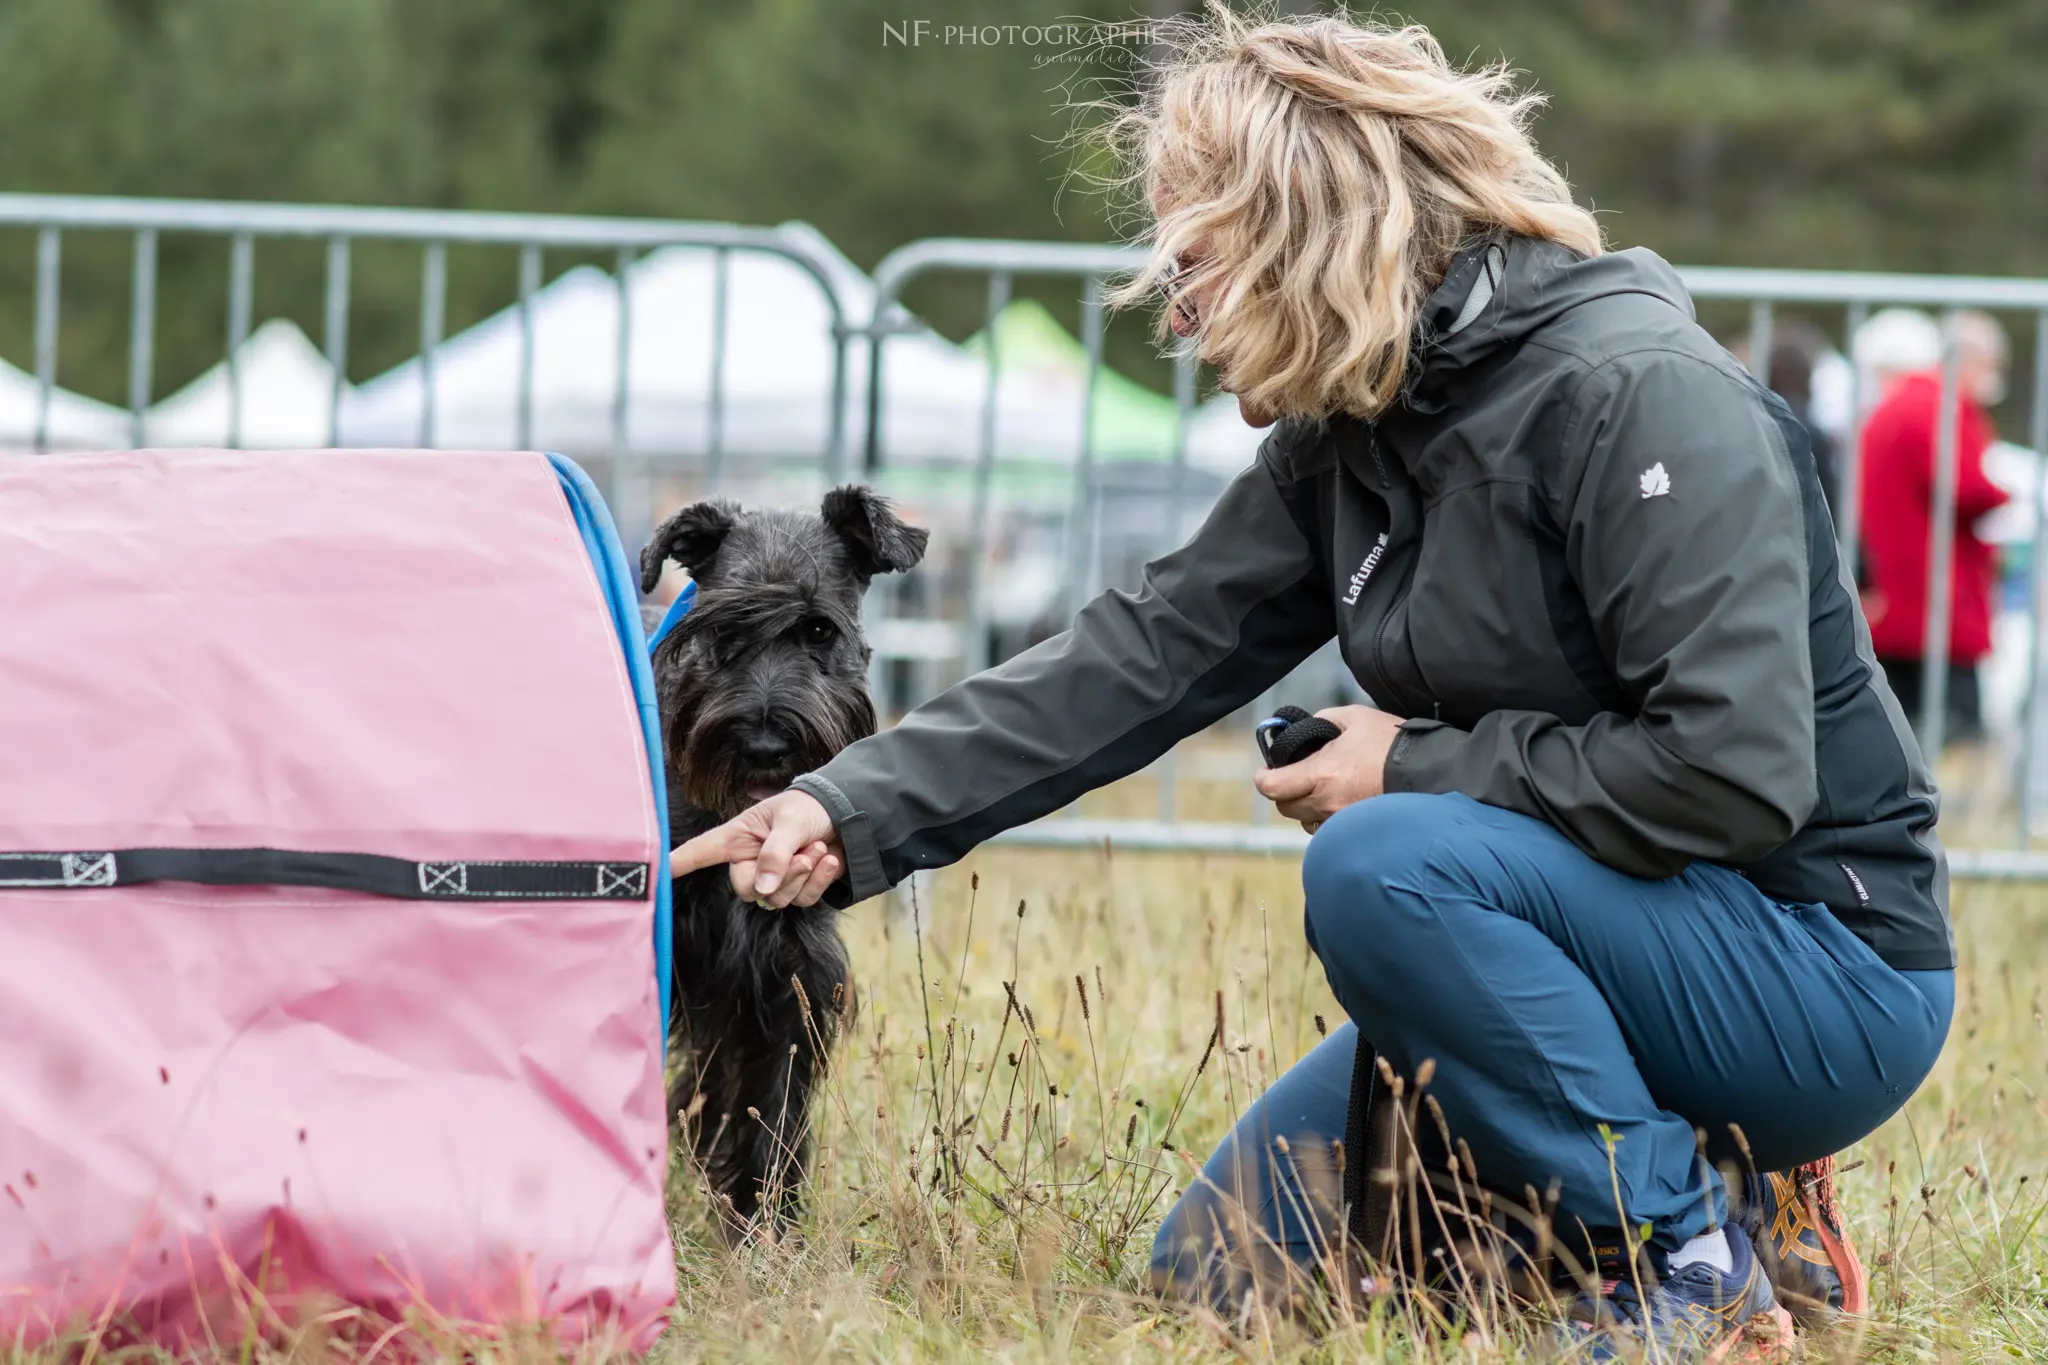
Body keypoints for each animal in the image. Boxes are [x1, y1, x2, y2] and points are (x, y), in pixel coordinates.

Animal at [638, 485, 929, 1236]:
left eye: (820, 630)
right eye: (722, 633)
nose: (765, 743)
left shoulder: (786, 974)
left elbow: (772, 1105)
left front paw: (766, 1229)